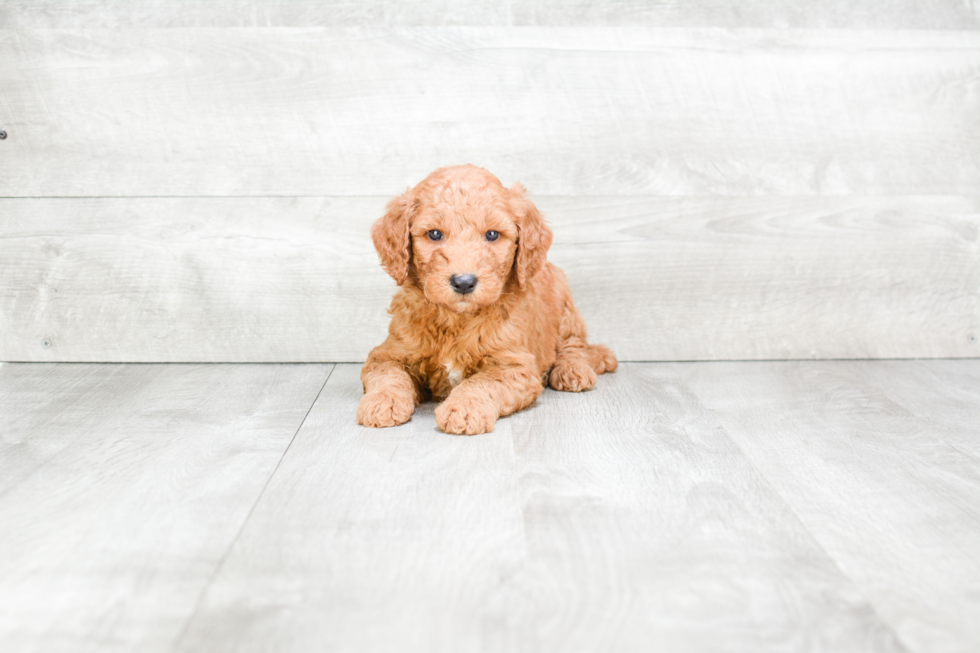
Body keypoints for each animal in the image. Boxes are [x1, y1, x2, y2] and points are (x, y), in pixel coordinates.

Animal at [360, 166, 616, 436]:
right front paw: (382, 402)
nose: (463, 282)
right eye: (434, 234)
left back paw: (573, 370)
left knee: (574, 345)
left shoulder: (514, 366)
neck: (456, 319)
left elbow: (481, 381)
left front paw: (463, 408)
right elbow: (389, 375)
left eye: (492, 234)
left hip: (565, 303)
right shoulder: (389, 354)